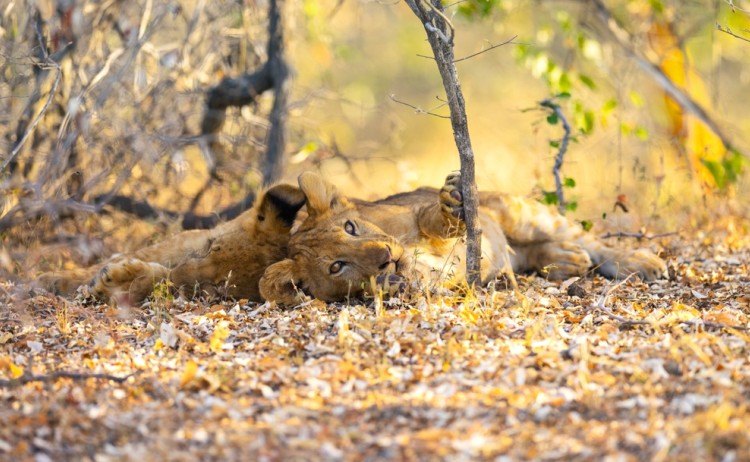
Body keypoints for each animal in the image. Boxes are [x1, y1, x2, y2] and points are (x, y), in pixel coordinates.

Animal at [40, 184, 306, 305]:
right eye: (210, 247)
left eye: (215, 287)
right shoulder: (172, 247)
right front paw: (50, 279)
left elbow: (158, 278)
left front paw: (115, 282)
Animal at [259, 172, 667, 304]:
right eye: (337, 266)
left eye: (350, 228)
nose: (386, 258)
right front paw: (390, 281)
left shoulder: (415, 213)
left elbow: (430, 219)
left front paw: (451, 202)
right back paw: (564, 260)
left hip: (522, 213)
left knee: (596, 242)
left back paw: (643, 263)